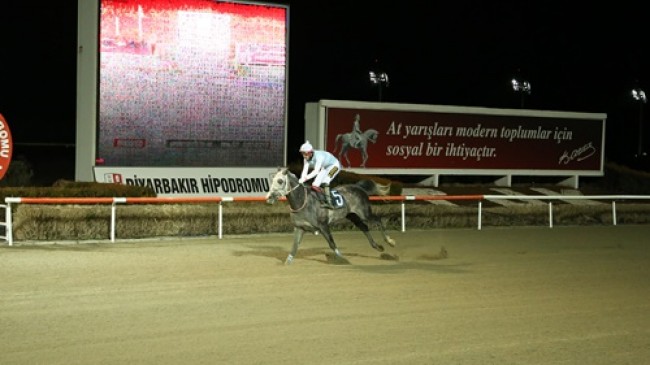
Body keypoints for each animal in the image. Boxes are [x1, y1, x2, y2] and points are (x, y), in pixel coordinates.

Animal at [264, 166, 394, 264]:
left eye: (280, 181)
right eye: (273, 179)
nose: (269, 198)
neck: (303, 202)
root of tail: (358, 187)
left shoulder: (323, 226)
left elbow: (331, 243)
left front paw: (343, 260)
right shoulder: (299, 228)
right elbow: (294, 247)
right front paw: (287, 262)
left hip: (364, 213)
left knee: (378, 220)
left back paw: (389, 241)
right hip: (352, 215)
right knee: (364, 227)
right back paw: (378, 247)